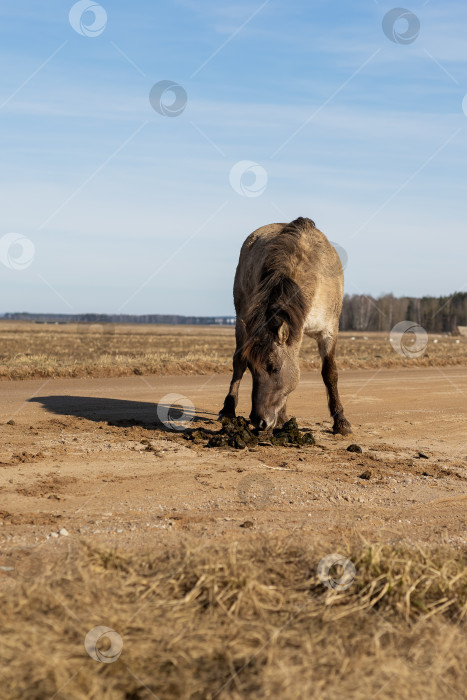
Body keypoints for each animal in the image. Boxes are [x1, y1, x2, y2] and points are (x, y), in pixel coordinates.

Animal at [219, 217, 351, 435]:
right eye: (253, 369)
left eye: (275, 368)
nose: (258, 421)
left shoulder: (328, 331)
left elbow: (330, 373)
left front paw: (341, 421)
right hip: (241, 321)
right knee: (237, 362)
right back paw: (228, 410)